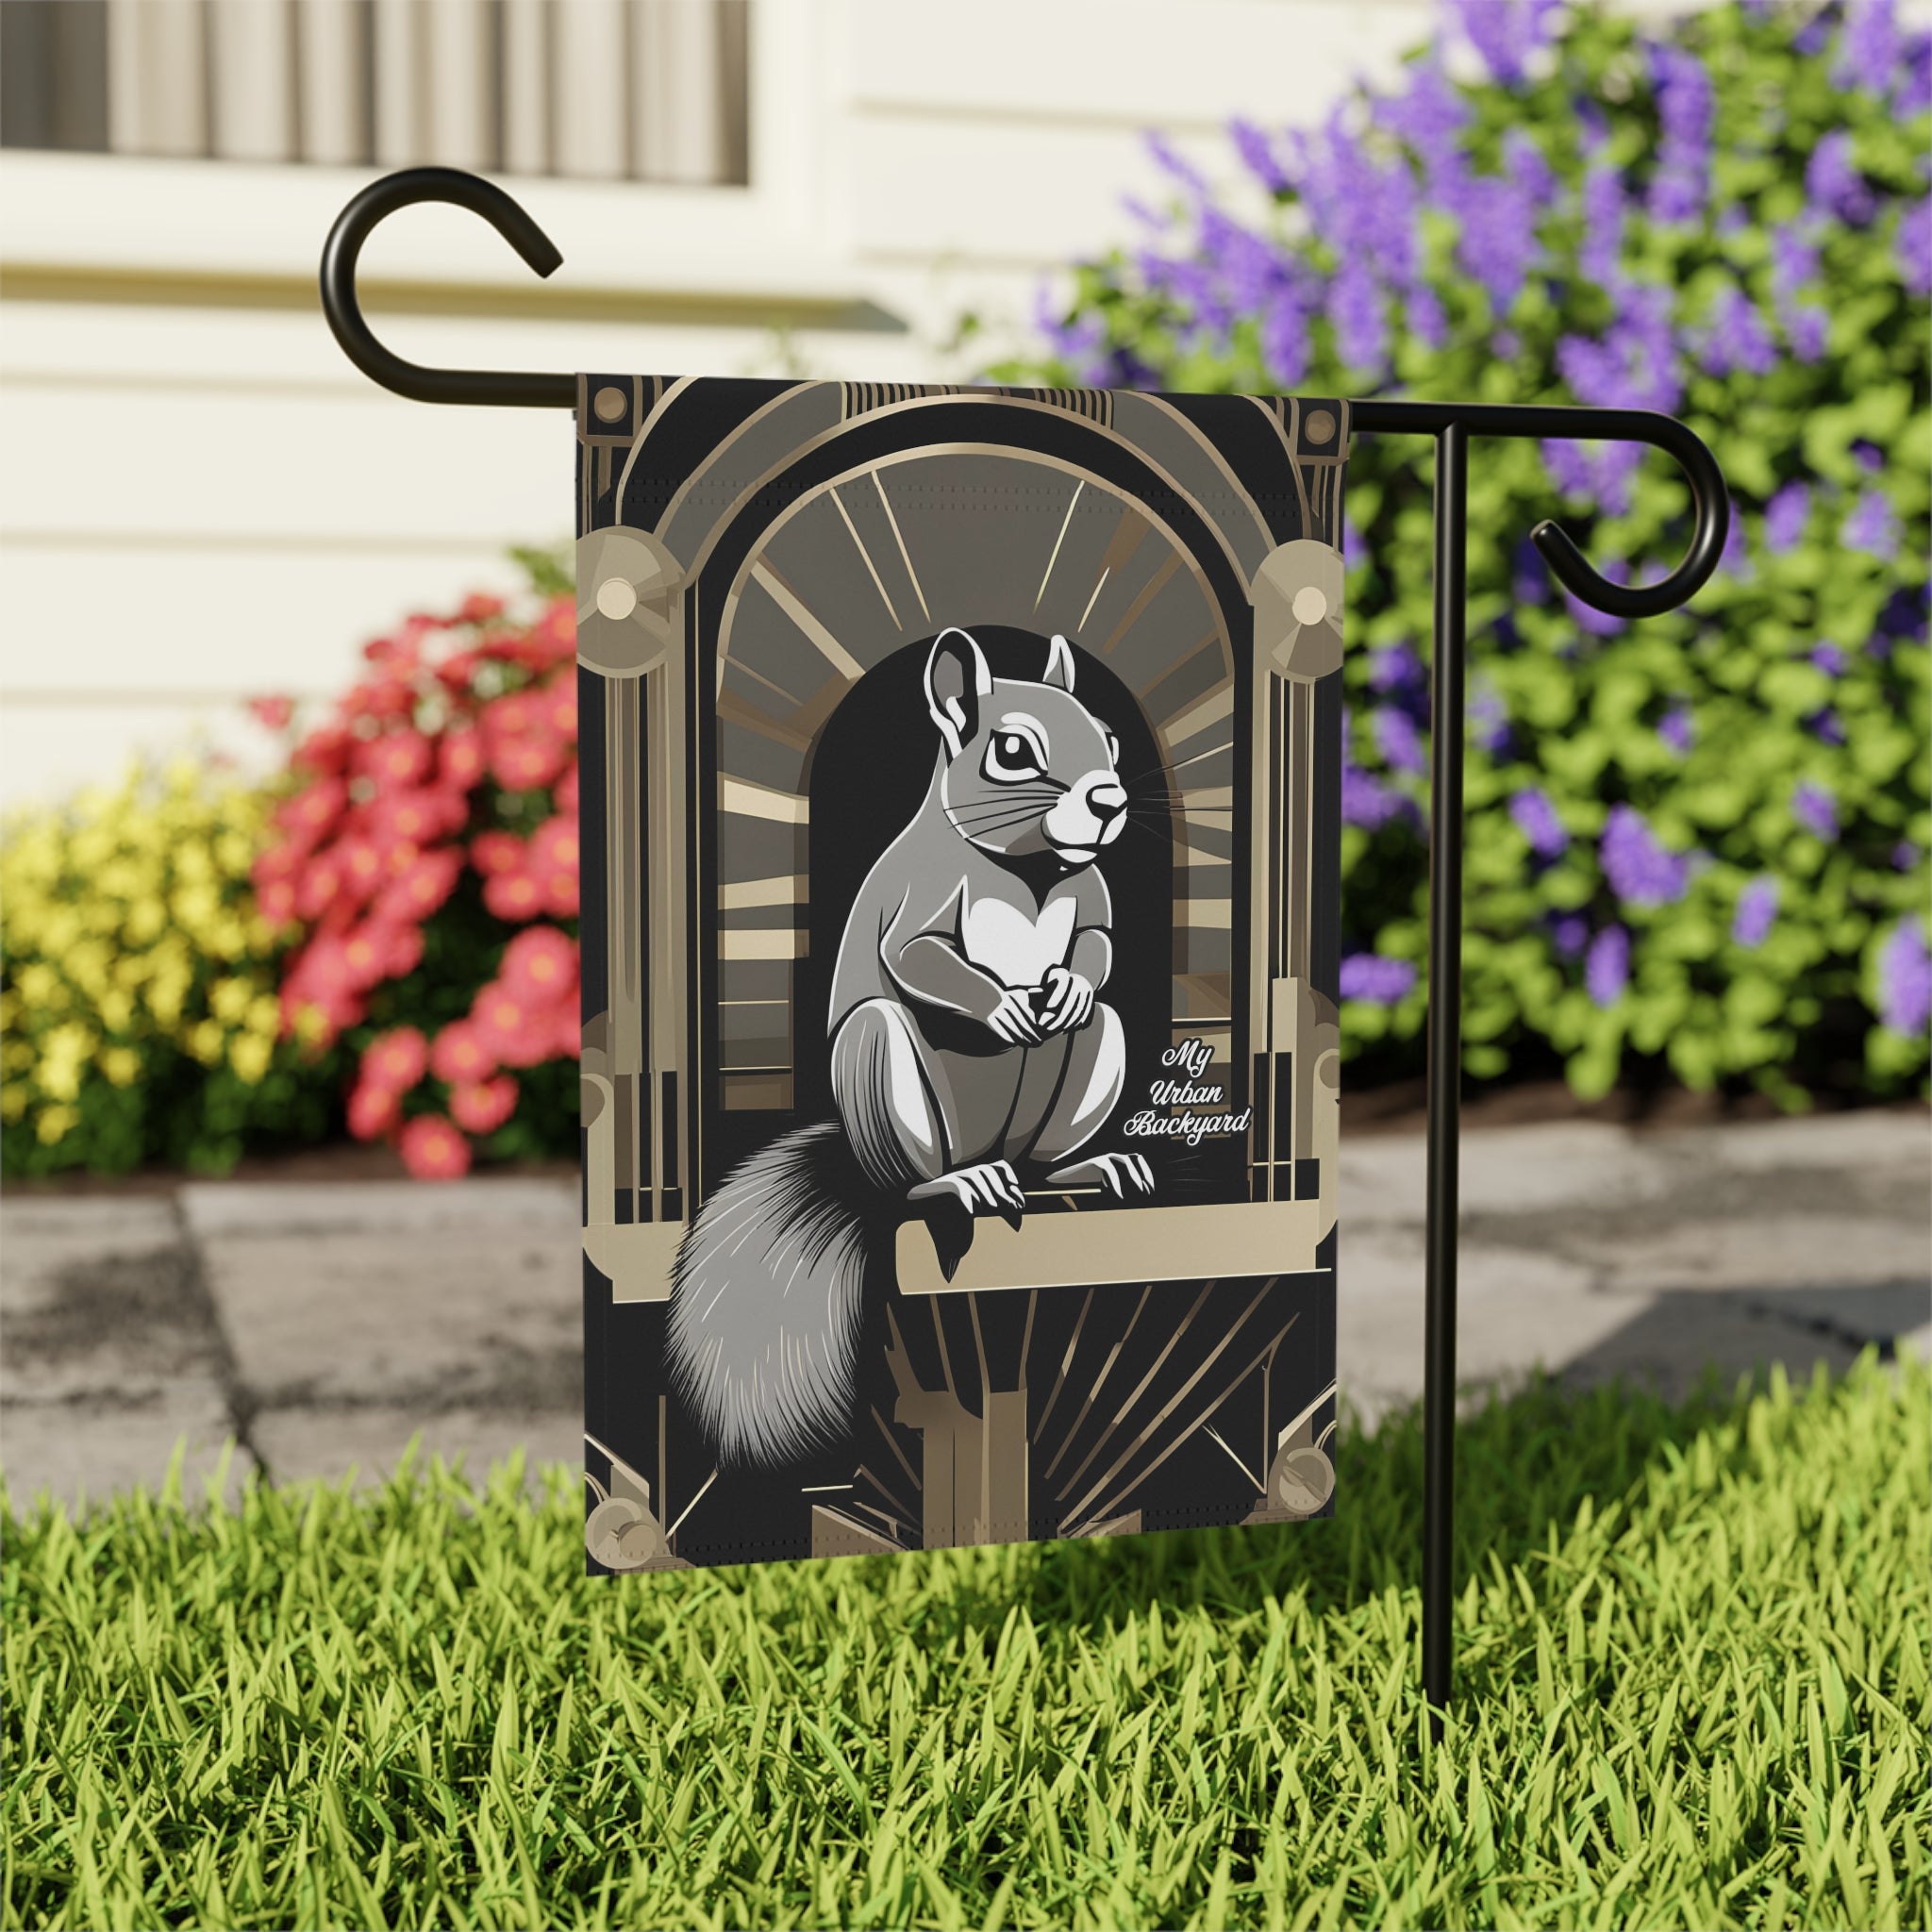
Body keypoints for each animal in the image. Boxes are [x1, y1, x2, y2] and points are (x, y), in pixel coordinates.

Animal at [666, 627, 1156, 1468]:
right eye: (1012, 750)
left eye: (1112, 738)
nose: (1108, 801)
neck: (1027, 870)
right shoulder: (919, 898)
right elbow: (917, 956)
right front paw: (1003, 1008)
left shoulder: (1090, 895)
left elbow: (1097, 945)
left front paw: (1063, 989)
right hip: (884, 1068)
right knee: (905, 1186)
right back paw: (960, 1184)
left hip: (1091, 1061)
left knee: (1054, 1135)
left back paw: (1094, 1164)